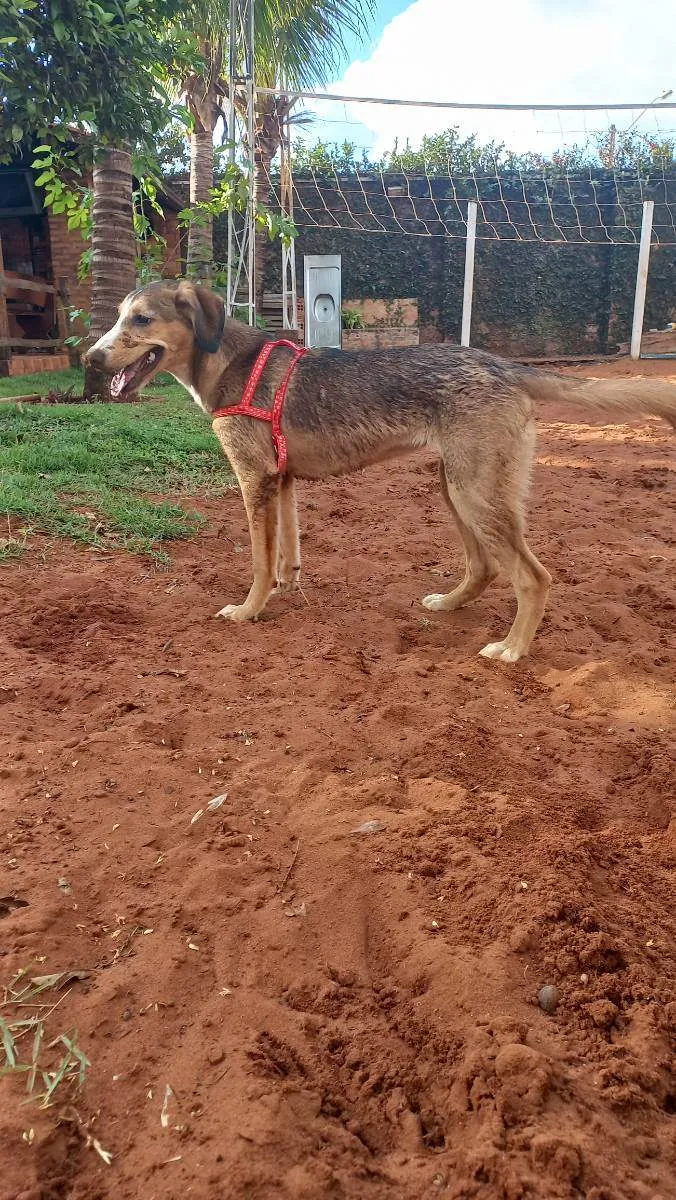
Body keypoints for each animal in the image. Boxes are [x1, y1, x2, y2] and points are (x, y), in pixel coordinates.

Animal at [85, 277, 676, 662]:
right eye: (117, 318)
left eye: (140, 320)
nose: (90, 359)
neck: (228, 361)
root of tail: (503, 365)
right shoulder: (283, 481)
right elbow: (286, 555)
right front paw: (285, 588)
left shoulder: (255, 481)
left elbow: (257, 562)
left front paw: (250, 611)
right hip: (456, 488)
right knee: (484, 568)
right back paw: (451, 604)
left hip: (475, 492)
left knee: (534, 577)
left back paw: (512, 649)